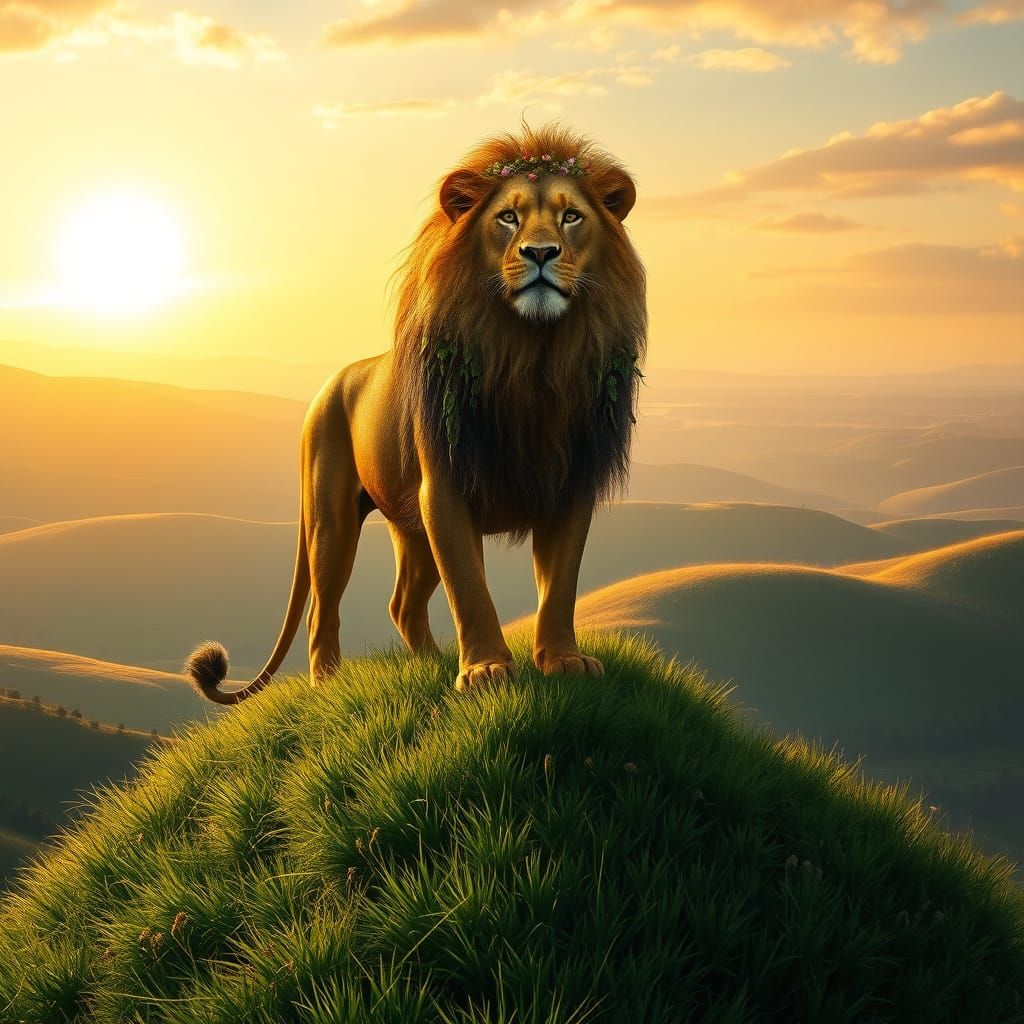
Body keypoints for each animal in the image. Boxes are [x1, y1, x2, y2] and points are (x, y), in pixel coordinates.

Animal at [186, 124, 646, 701]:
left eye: (571, 216)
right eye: (507, 217)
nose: (540, 252)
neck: (531, 354)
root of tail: (330, 384)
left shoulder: (569, 482)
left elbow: (559, 585)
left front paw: (562, 660)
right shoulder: (444, 487)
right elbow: (469, 587)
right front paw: (485, 671)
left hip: (411, 526)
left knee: (403, 605)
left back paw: (432, 664)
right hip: (332, 518)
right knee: (322, 609)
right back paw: (329, 684)